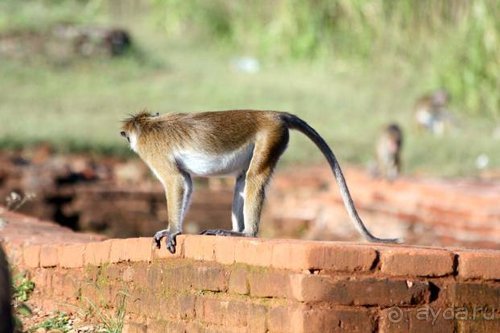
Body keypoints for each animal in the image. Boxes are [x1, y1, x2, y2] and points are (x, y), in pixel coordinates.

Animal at [122, 109, 402, 252]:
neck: (148, 124)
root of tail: (272, 114)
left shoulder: (153, 152)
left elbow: (176, 181)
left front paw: (172, 230)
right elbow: (187, 183)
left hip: (271, 136)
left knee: (253, 177)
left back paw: (247, 233)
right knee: (241, 180)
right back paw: (235, 230)